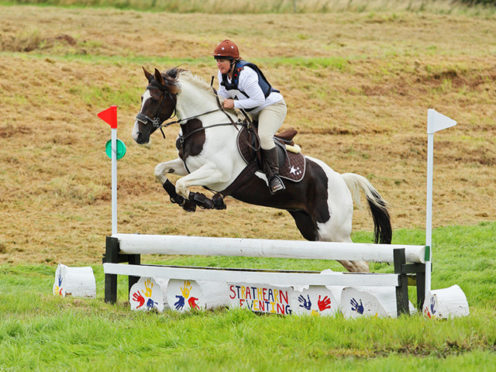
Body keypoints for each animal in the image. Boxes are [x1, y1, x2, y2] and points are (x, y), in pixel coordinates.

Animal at [132, 67, 392, 272]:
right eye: (142, 97)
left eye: (154, 99)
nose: (138, 135)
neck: (204, 126)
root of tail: (340, 179)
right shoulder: (188, 166)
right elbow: (160, 171)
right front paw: (179, 198)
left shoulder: (219, 174)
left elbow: (183, 184)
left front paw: (197, 200)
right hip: (317, 234)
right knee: (353, 264)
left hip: (334, 232)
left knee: (361, 263)